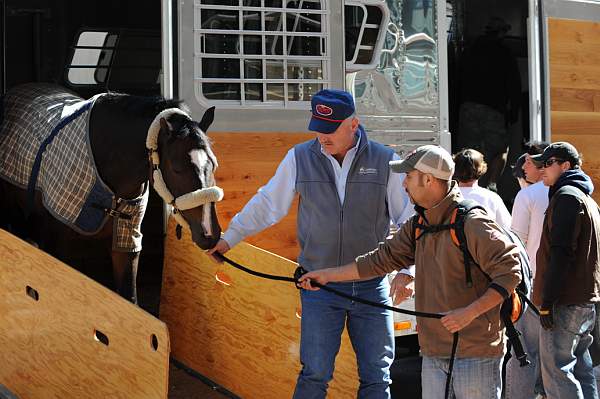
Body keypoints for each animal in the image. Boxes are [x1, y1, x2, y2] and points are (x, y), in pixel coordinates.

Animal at [0, 83, 224, 304]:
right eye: (177, 169)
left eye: (213, 164)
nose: (209, 233)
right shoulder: (56, 244)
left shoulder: (126, 241)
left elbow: (129, 297)